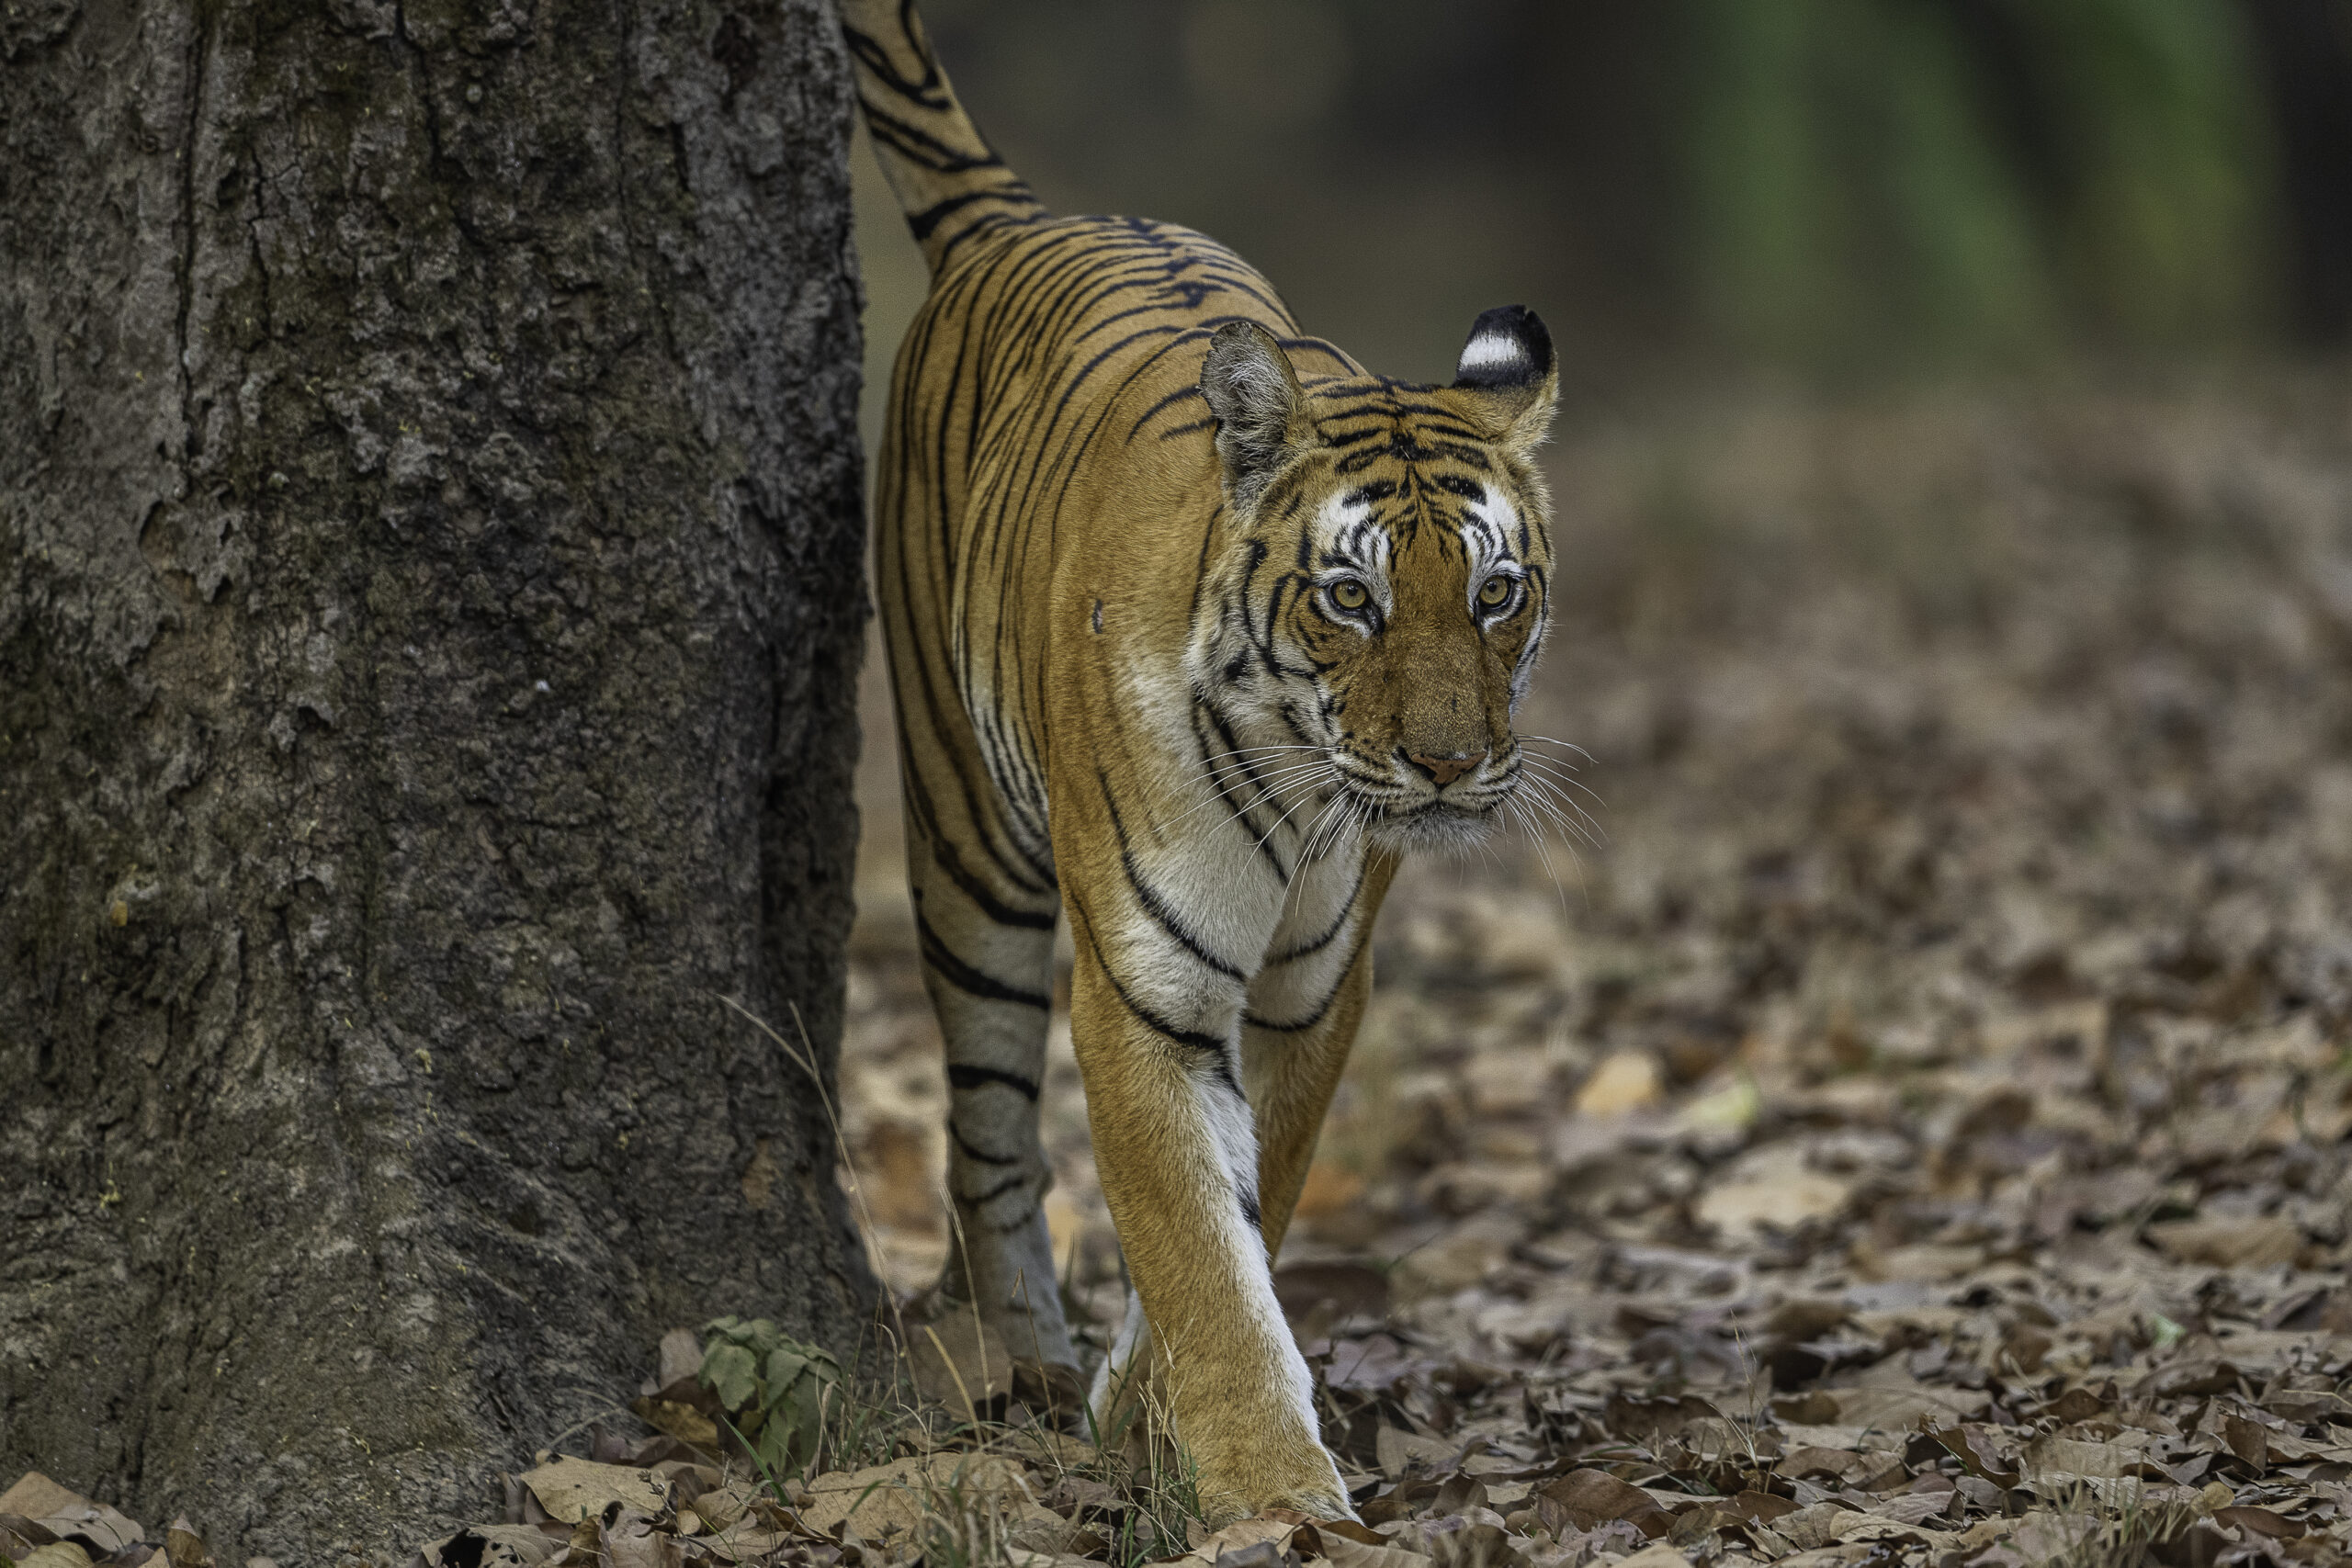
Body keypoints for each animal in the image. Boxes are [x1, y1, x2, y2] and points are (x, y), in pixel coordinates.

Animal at [846, 0, 1561, 1523]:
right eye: (1351, 597)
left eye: (1496, 592)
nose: (1449, 765)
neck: (1298, 784)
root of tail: (1021, 213)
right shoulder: (1144, 990)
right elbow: (1195, 1246)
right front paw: (1272, 1494)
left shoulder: (1315, 989)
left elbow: (1253, 1202)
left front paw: (1146, 1420)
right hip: (966, 850)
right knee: (985, 1133)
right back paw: (1025, 1354)